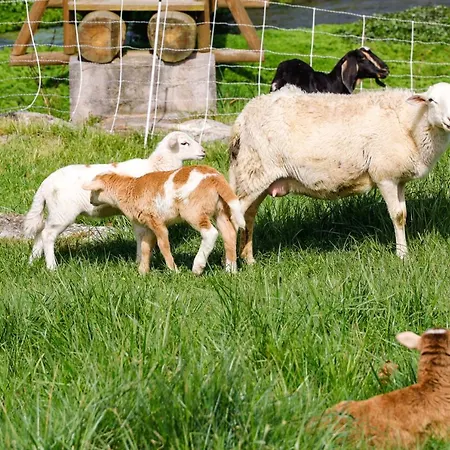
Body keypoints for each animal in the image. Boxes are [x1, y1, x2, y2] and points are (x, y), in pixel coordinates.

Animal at [23, 131, 206, 270]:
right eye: (184, 143)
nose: (203, 152)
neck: (156, 166)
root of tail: (45, 184)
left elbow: (140, 236)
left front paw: (139, 260)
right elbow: (143, 235)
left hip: (55, 212)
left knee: (40, 233)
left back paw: (32, 262)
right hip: (63, 212)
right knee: (48, 235)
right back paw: (52, 267)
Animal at [82, 165, 246, 275]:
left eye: (93, 192)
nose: (90, 200)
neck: (130, 189)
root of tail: (214, 178)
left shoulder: (156, 221)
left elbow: (163, 245)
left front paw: (173, 270)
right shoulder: (146, 226)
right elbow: (145, 247)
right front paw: (143, 271)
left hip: (193, 211)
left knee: (210, 233)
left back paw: (197, 267)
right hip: (220, 210)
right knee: (229, 233)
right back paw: (231, 270)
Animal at [228, 82, 450, 263]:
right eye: (431, 100)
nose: (449, 120)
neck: (410, 124)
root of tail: (243, 117)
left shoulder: (399, 179)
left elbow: (403, 214)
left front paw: (404, 252)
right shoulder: (384, 176)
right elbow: (396, 216)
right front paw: (402, 255)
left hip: (255, 178)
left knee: (248, 216)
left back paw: (249, 260)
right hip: (254, 170)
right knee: (232, 217)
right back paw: (231, 267)